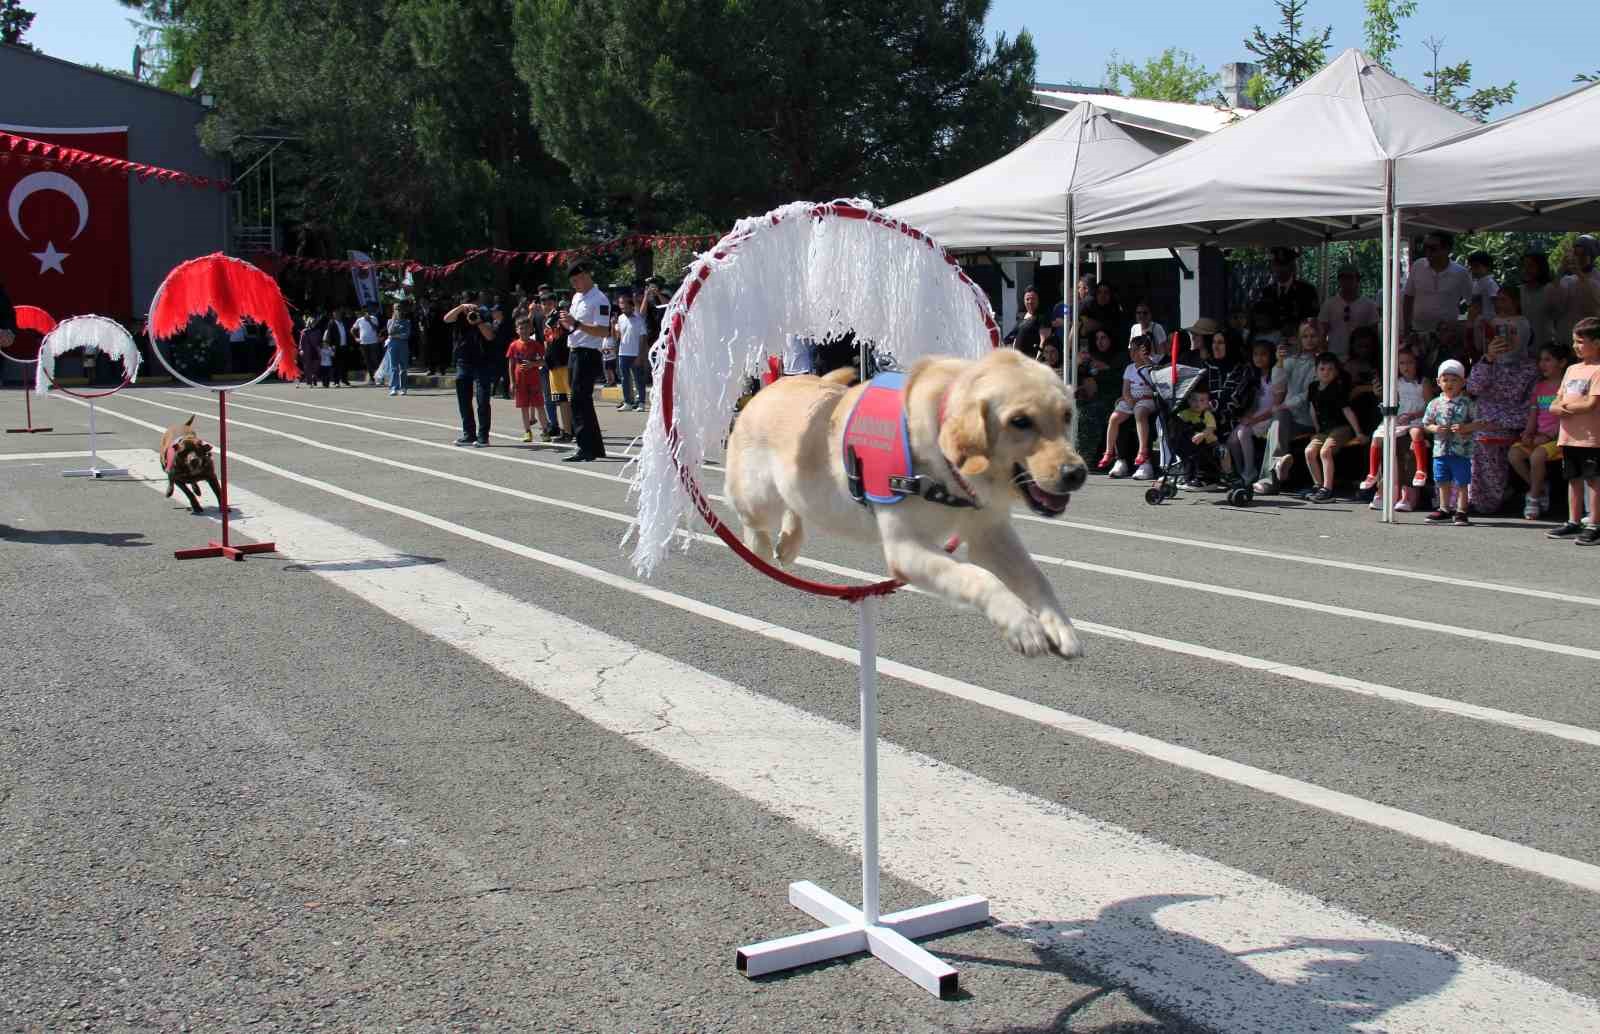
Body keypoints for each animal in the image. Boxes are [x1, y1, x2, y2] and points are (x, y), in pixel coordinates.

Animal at [726, 348, 1088, 656]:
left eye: (1067, 415)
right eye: (1020, 421)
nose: (1077, 473)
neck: (945, 470)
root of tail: (770, 386)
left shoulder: (991, 533)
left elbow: (1035, 576)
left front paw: (1060, 626)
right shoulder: (907, 549)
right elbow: (979, 576)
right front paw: (1022, 625)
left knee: (794, 507)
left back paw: (788, 544)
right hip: (759, 494)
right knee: (748, 514)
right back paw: (759, 546)